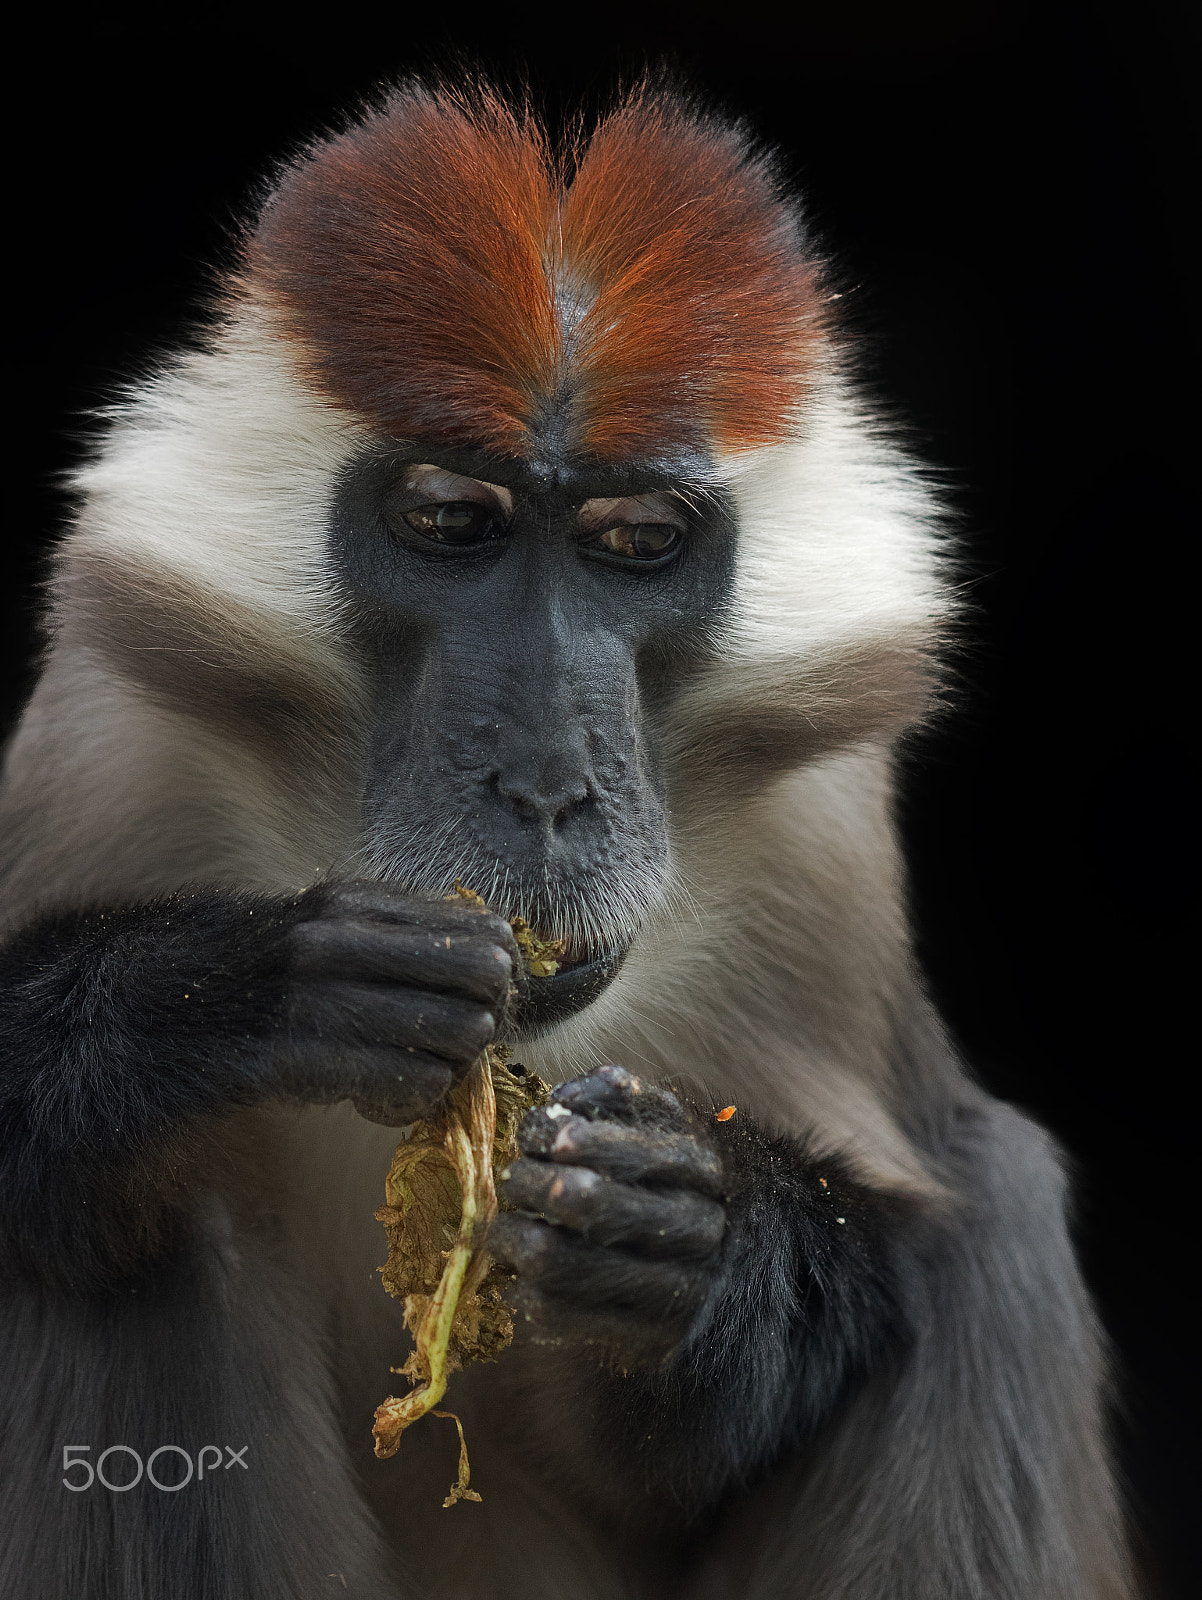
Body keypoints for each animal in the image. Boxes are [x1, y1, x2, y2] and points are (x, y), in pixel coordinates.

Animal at [0, 81, 1134, 1599]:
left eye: (636, 539)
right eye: (447, 520)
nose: (543, 783)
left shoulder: (825, 845)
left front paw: (700, 1245)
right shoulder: (105, 740)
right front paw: (238, 994)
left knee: (995, 1218)